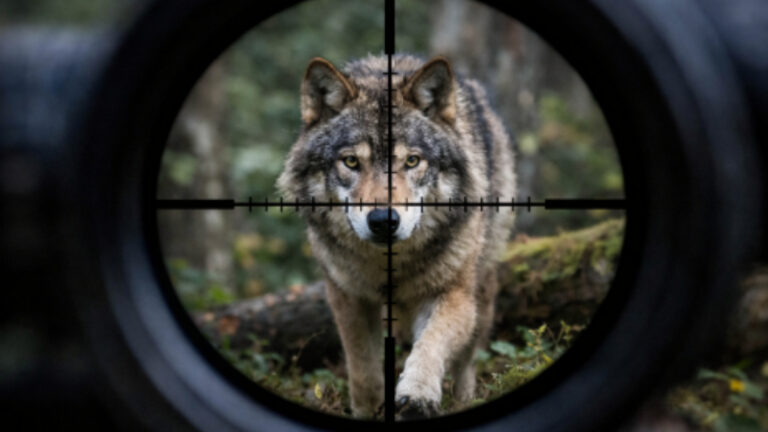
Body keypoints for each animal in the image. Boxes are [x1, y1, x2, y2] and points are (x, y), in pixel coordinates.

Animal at [277, 54, 516, 419]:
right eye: (351, 161)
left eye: (412, 161)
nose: (382, 220)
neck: (389, 265)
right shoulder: (348, 298)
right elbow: (363, 371)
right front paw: (369, 410)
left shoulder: (454, 295)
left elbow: (431, 344)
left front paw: (417, 395)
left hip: (482, 292)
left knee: (466, 361)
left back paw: (463, 400)